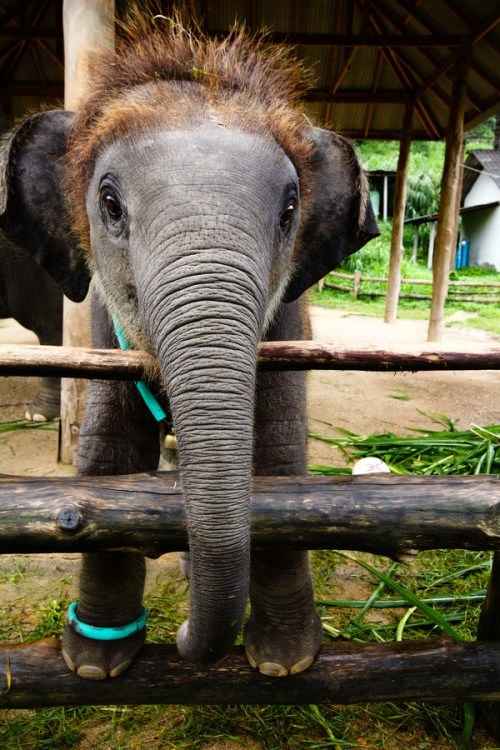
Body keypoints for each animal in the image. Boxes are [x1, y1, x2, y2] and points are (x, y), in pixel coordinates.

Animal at [0, 14, 378, 680]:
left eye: (290, 210)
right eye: (109, 204)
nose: (179, 636)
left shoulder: (290, 323)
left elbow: (279, 459)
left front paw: (283, 664)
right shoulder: (103, 331)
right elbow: (109, 457)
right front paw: (94, 664)